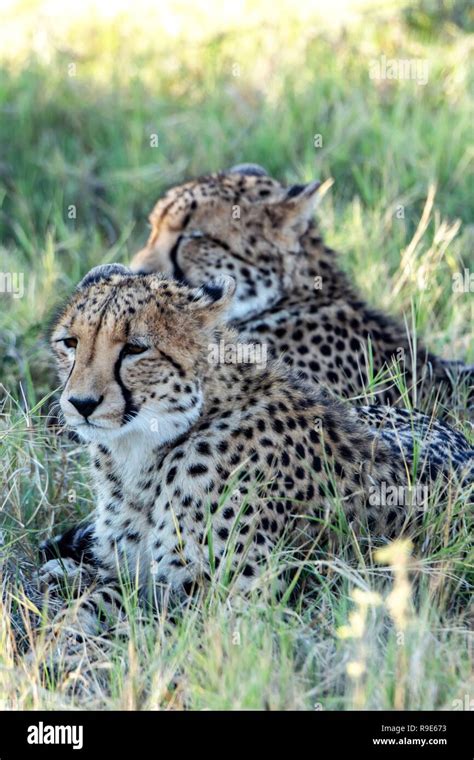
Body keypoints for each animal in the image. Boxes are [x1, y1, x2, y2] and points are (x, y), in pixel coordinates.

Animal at [39, 264, 470, 640]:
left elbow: (151, 630)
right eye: (70, 343)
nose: (81, 403)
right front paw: (61, 637)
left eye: (134, 348)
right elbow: (97, 600)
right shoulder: (136, 576)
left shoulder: (243, 604)